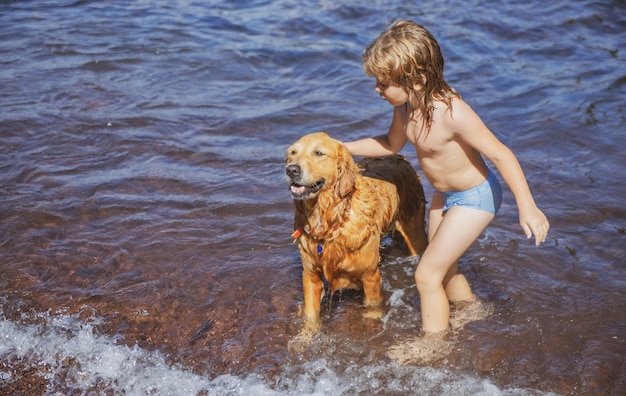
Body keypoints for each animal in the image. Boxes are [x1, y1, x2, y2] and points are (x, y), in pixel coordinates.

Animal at [286, 132, 426, 334]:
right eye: (292, 153)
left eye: (318, 153)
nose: (291, 170)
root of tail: (399, 157)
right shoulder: (311, 275)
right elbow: (310, 316)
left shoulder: (370, 277)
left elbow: (372, 309)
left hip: (415, 232)